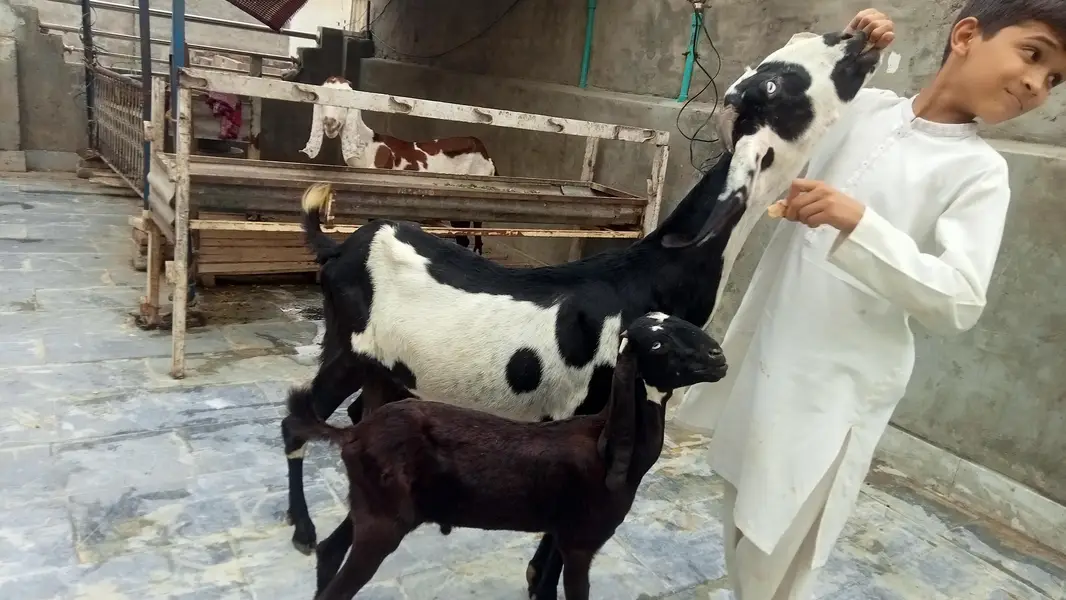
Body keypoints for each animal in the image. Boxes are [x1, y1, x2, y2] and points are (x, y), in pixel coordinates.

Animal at [286, 312, 729, 600]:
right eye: (657, 344)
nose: (718, 357)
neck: (605, 446)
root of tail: (352, 433)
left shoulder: (560, 532)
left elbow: (543, 585)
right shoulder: (582, 541)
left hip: (374, 506)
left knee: (329, 550)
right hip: (383, 522)